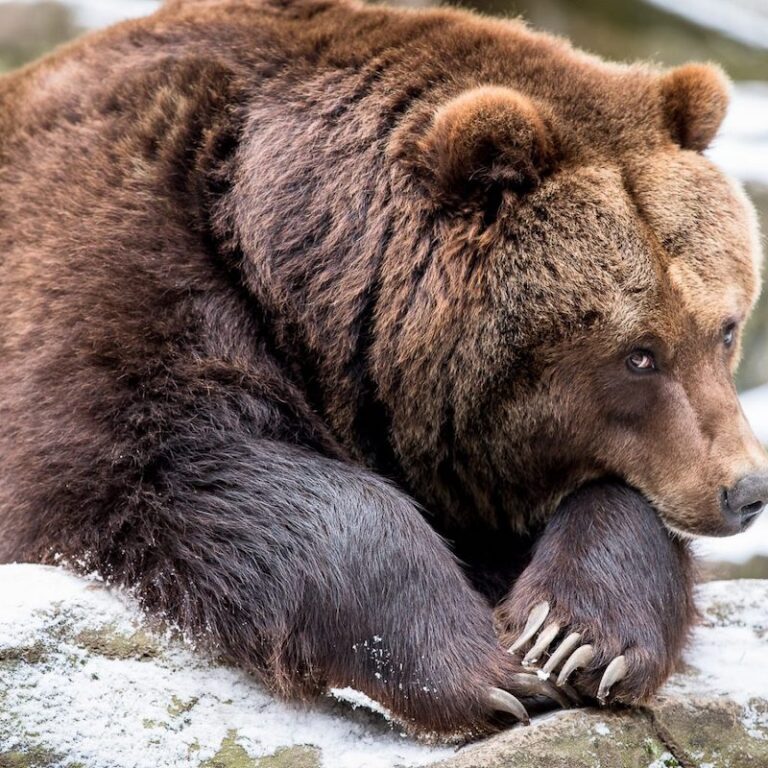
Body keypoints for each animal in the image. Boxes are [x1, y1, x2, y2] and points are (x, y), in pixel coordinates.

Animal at [1, 0, 767, 739]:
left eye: (725, 329)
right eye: (638, 354)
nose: (747, 489)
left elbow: (623, 512)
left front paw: (573, 636)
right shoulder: (125, 272)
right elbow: (172, 469)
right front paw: (480, 669)